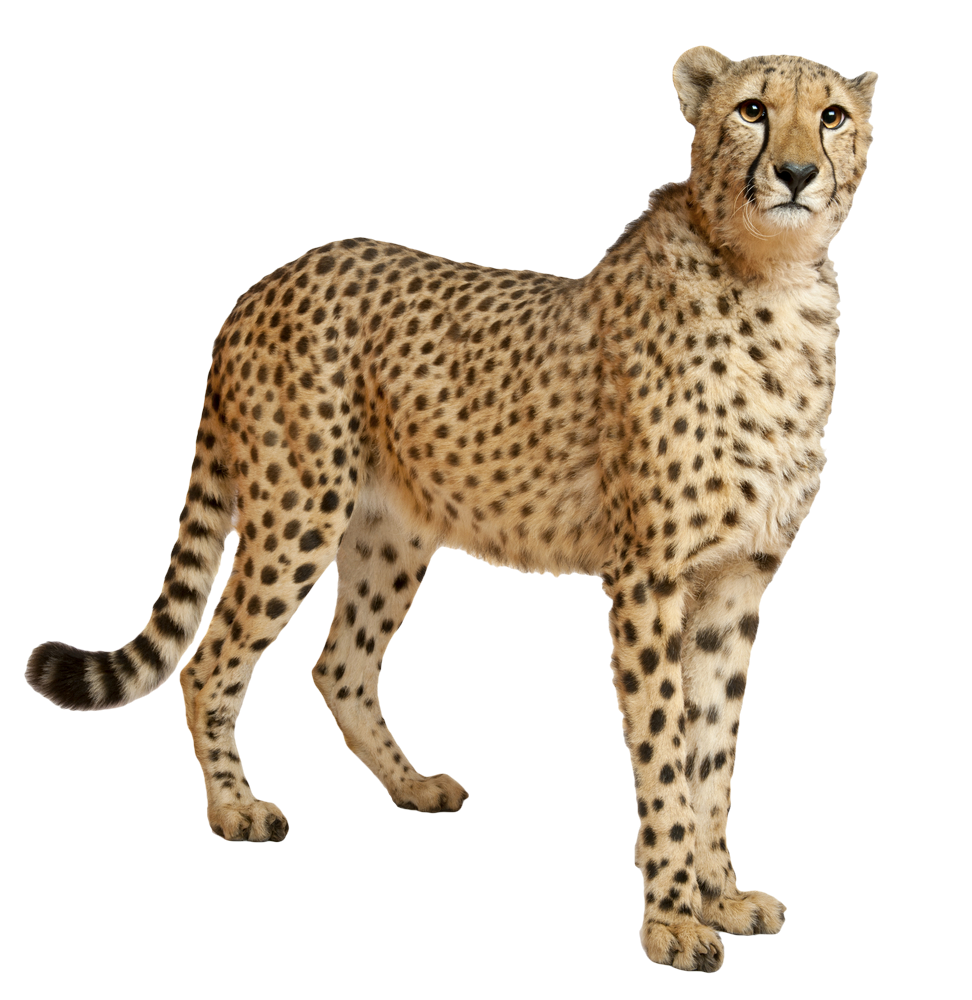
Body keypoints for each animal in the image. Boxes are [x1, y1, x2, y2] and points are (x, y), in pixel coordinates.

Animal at [26, 45, 877, 972]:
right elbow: (663, 750)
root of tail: (267, 280)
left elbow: (713, 750)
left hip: (390, 533)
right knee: (209, 661)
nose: (796, 172)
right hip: (298, 510)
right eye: (753, 109)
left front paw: (721, 894)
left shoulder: (736, 580)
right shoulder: (648, 579)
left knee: (341, 665)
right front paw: (672, 921)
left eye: (831, 115)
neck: (771, 278)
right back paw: (235, 810)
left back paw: (413, 785)